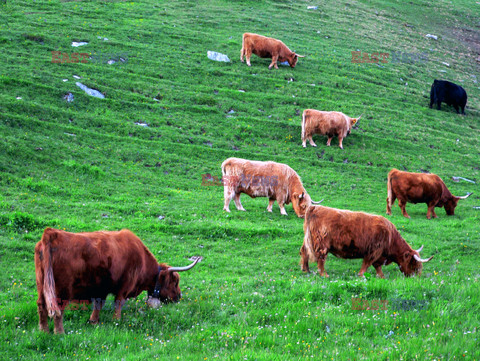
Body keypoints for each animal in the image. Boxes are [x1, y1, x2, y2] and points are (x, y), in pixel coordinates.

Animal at [34, 226, 199, 334]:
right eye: (174, 281)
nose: (179, 296)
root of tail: (51, 233)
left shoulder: (101, 288)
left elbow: (99, 305)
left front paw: (94, 321)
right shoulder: (124, 287)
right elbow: (118, 303)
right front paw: (116, 320)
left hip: (42, 284)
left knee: (41, 305)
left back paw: (43, 330)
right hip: (62, 289)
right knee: (58, 310)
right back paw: (59, 333)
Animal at [300, 205, 432, 276]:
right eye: (413, 264)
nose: (415, 277)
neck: (390, 238)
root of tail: (315, 207)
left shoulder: (378, 255)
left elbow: (377, 267)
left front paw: (381, 277)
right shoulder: (374, 251)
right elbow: (367, 264)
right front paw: (361, 275)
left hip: (308, 240)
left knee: (304, 252)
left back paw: (306, 270)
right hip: (322, 244)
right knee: (320, 258)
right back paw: (324, 274)